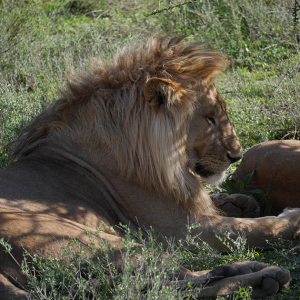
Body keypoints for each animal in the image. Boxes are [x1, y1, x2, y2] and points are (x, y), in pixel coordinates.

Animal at [0, 36, 300, 298]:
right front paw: (291, 219)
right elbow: (256, 229)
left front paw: (242, 202)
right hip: (94, 240)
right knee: (173, 284)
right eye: (210, 118)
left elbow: (219, 202)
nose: (236, 155)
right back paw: (263, 276)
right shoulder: (183, 229)